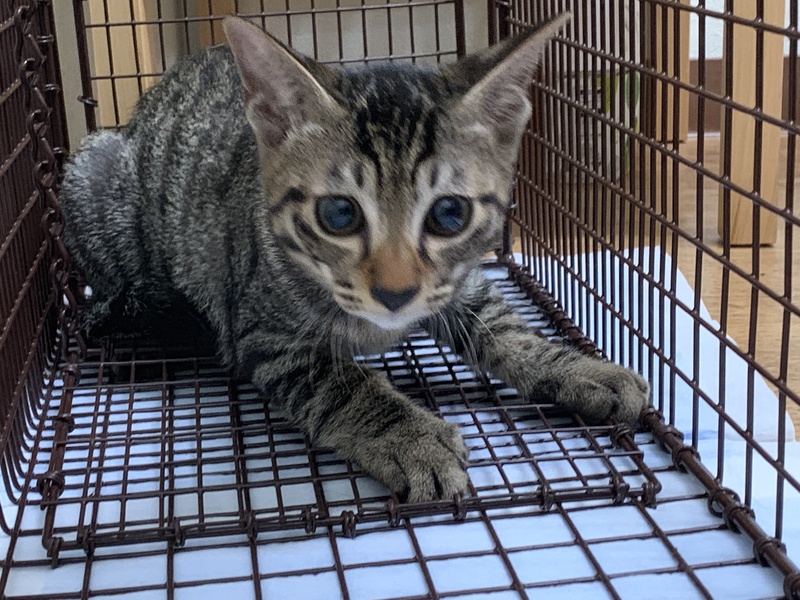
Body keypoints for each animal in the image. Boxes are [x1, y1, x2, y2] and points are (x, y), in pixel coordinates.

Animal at [60, 14, 650, 502]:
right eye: (339, 214)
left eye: (450, 213)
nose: (395, 292)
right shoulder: (261, 330)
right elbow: (340, 384)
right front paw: (410, 436)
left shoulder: (457, 282)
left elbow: (501, 322)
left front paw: (578, 368)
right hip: (93, 173)